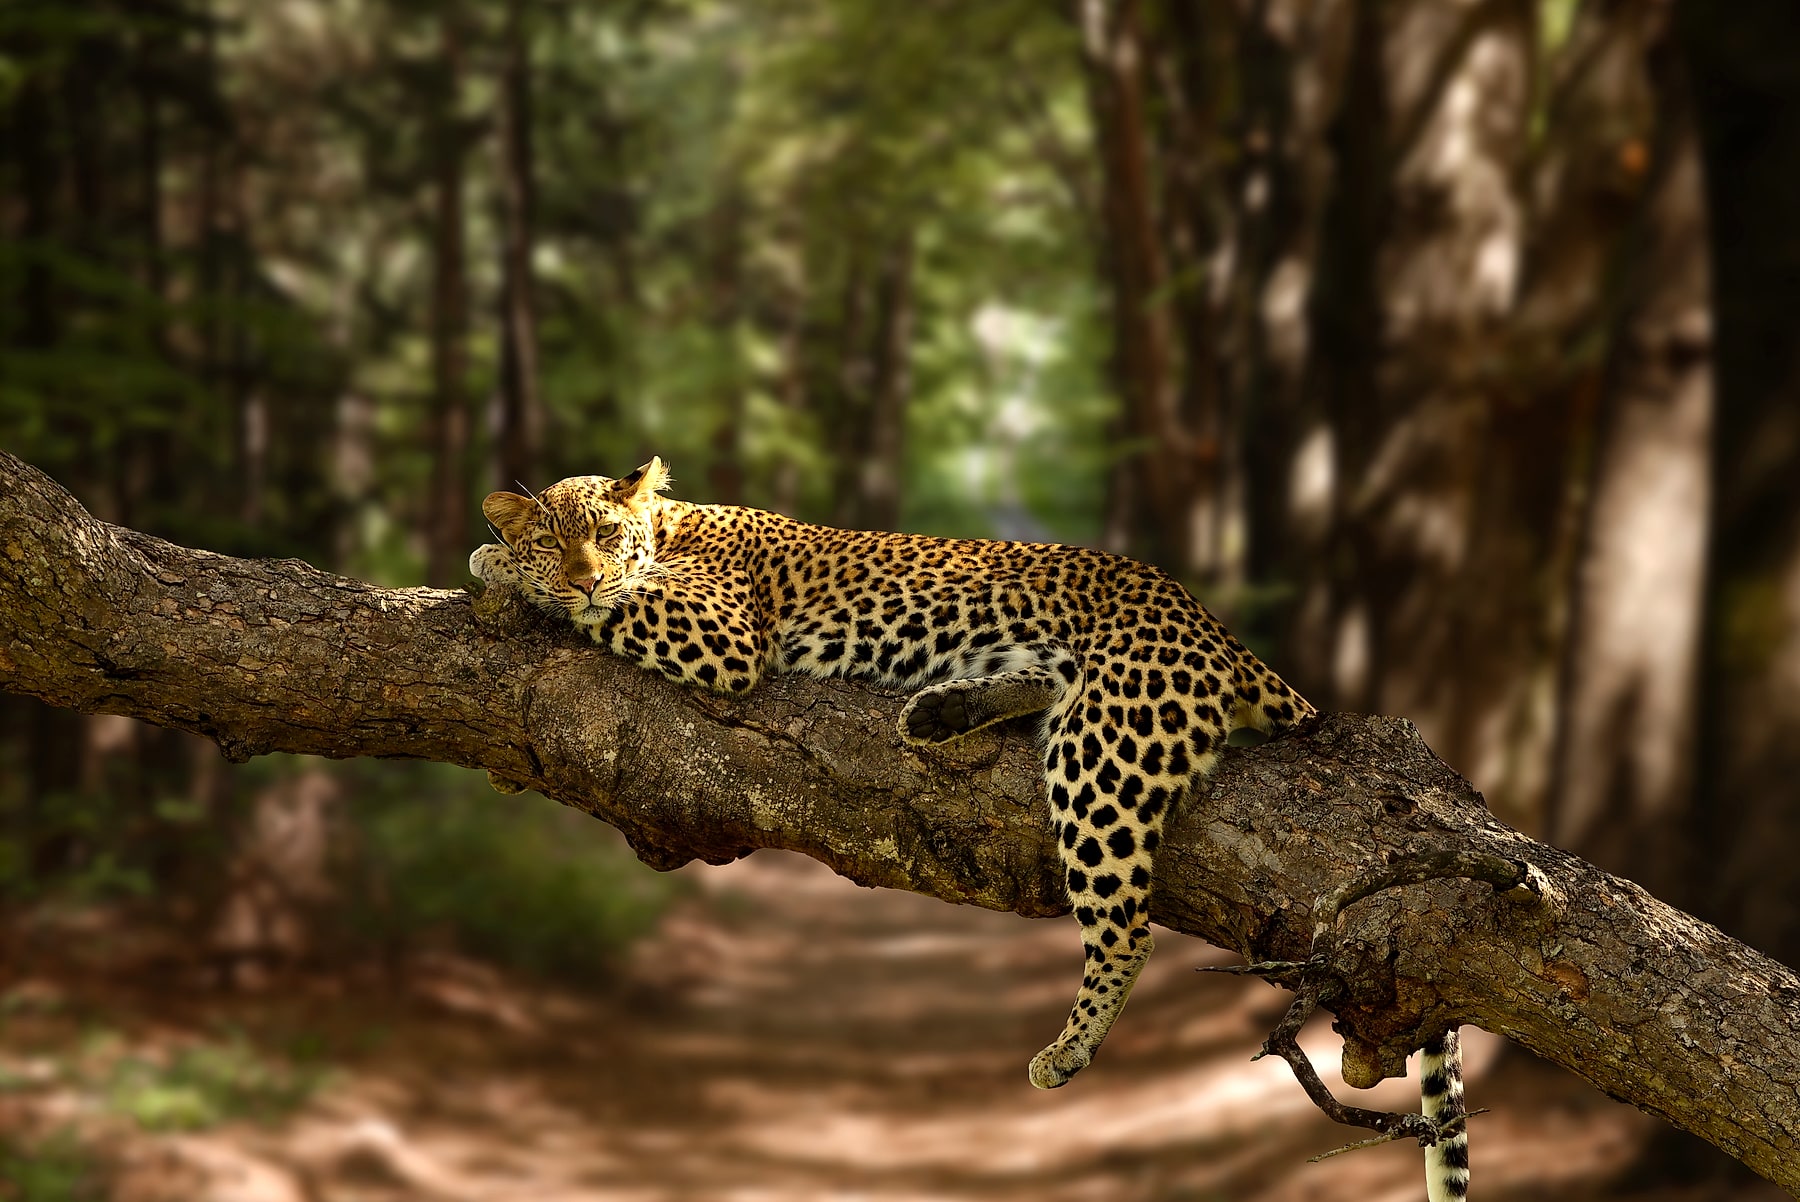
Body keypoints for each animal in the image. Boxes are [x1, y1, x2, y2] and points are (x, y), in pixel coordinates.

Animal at [469, 458, 1469, 1200]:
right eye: (558, 538)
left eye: (604, 537)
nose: (580, 570)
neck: (672, 526)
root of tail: (1213, 628)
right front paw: (507, 560)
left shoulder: (721, 631)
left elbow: (613, 606)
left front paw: (501, 571)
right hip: (1067, 704)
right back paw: (940, 713)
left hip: (1106, 753)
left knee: (1127, 926)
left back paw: (1068, 1049)